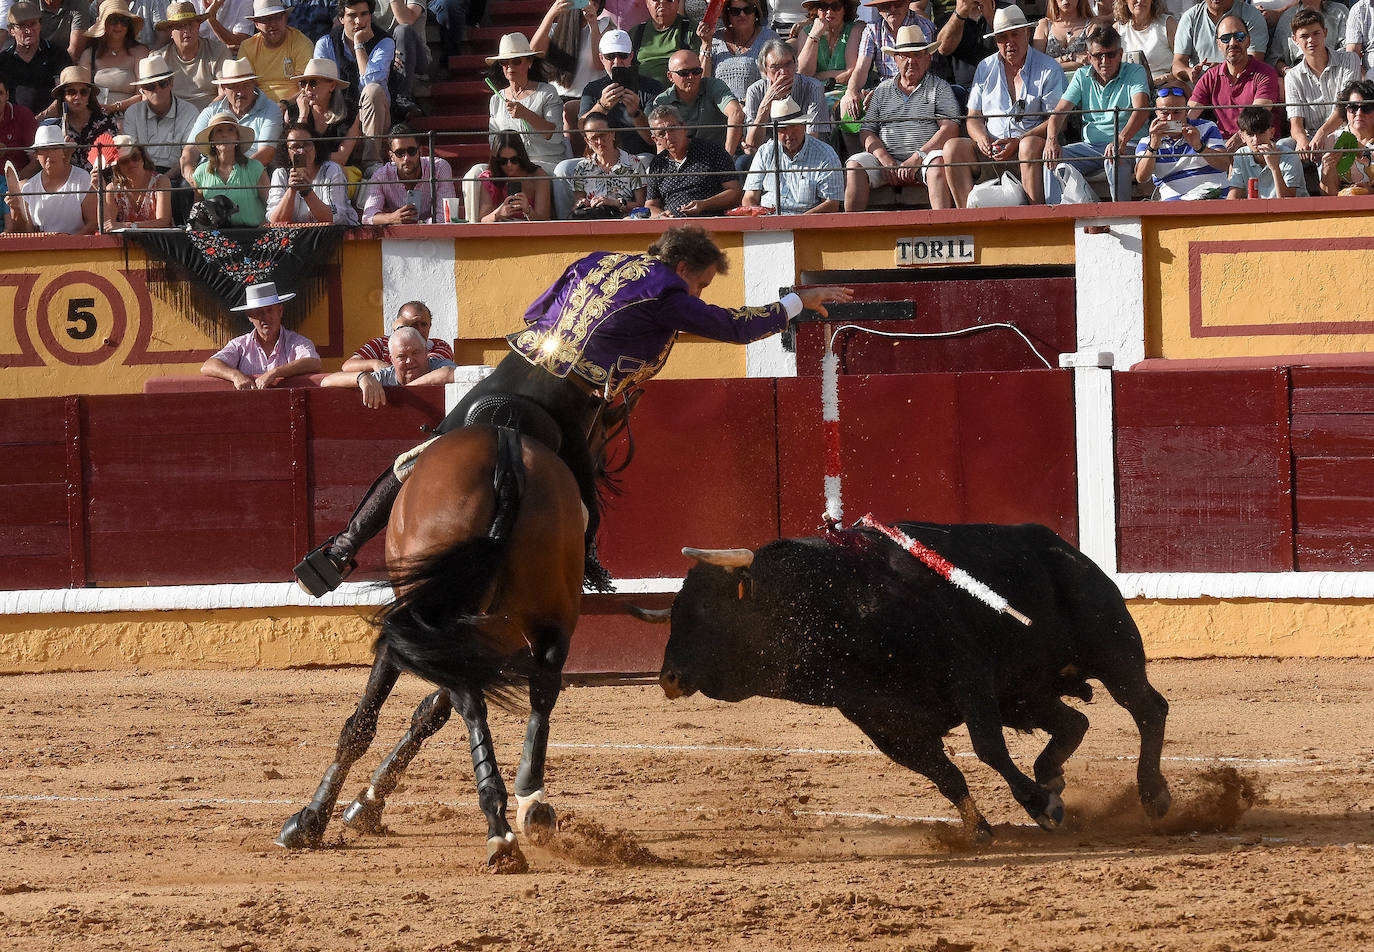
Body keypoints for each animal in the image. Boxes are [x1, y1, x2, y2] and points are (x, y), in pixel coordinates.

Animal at [276, 423, 582, 862]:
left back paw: (499, 829)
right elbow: (430, 712)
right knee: (542, 690)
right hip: (550, 617)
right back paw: (532, 803)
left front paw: (310, 821)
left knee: (471, 702)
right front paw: (365, 804)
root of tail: (505, 455)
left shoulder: (410, 628)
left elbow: (361, 724)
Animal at [651, 519, 1170, 840]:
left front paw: (1041, 806)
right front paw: (979, 828)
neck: (838, 603)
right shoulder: (883, 722)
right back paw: (1052, 775)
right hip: (1025, 694)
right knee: (1074, 723)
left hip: (1113, 654)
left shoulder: (969, 680)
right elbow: (944, 774)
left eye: (706, 606)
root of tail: (1064, 548)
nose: (669, 678)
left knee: (1148, 709)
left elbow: (987, 749)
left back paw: (1153, 795)